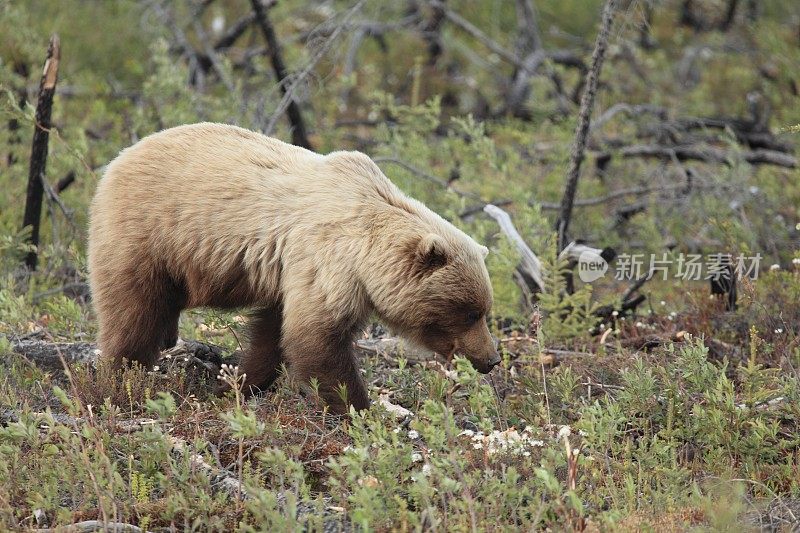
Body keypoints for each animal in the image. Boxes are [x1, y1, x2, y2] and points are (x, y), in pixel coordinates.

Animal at [89, 123, 500, 412]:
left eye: (483, 310)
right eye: (470, 312)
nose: (491, 359)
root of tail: (118, 157)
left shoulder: (292, 274)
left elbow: (274, 334)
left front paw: (237, 383)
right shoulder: (325, 259)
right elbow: (316, 340)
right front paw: (359, 408)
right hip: (146, 235)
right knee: (132, 314)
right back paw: (122, 380)